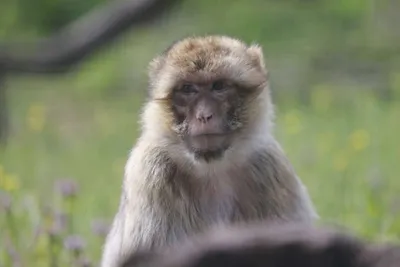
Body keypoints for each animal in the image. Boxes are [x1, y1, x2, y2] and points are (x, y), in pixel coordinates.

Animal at [102, 35, 318, 267]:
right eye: (188, 89)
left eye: (219, 86)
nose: (204, 115)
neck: (211, 169)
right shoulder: (151, 171)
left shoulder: (270, 166)